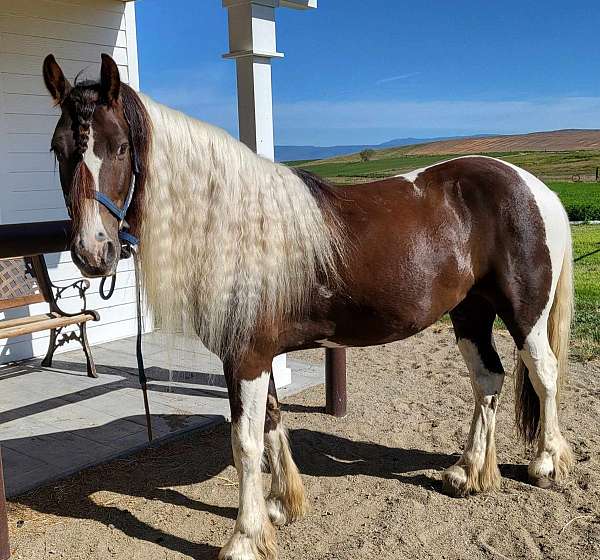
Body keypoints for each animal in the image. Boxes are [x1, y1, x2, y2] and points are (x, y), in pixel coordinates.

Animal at [43, 54, 576, 560]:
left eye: (120, 147)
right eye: (57, 147)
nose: (93, 252)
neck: (235, 227)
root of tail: (533, 186)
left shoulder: (247, 358)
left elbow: (245, 442)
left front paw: (245, 538)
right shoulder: (254, 357)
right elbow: (272, 422)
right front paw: (281, 506)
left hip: (524, 315)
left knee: (544, 373)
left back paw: (546, 463)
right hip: (469, 313)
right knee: (487, 379)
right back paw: (467, 472)